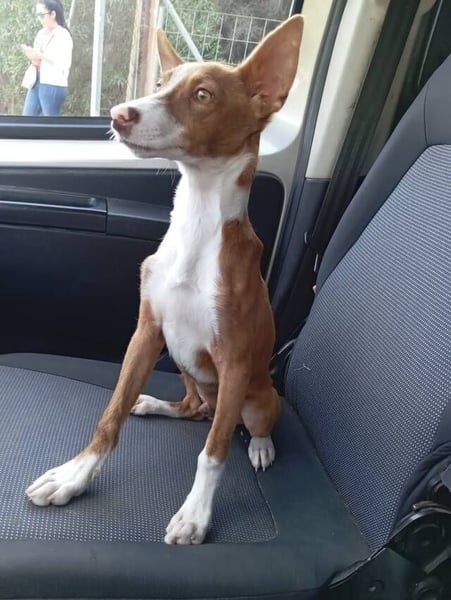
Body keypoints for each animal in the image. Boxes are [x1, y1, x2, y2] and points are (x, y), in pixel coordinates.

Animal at [26, 15, 304, 545]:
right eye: (160, 85)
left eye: (203, 95)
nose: (119, 115)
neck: (197, 222)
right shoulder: (147, 331)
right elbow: (110, 415)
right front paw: (74, 476)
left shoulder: (234, 360)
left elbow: (213, 453)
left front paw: (196, 515)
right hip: (186, 367)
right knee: (194, 408)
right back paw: (156, 403)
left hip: (256, 395)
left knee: (242, 424)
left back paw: (259, 446)